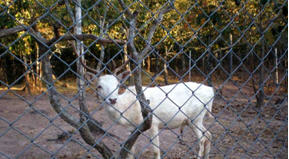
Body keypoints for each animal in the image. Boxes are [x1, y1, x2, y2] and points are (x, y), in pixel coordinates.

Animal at [84, 71, 213, 159]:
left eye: (117, 85)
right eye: (99, 86)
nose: (112, 99)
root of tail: (211, 92)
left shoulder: (153, 123)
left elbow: (156, 151)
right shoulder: (132, 128)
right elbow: (130, 151)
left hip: (195, 117)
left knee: (201, 139)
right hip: (193, 119)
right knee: (208, 134)